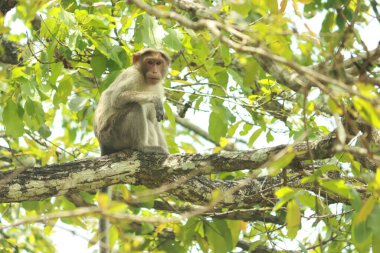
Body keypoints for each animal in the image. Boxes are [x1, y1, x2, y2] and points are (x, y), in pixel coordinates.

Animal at [93, 49, 170, 253]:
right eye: (150, 62)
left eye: (159, 63)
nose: (155, 71)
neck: (145, 79)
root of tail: (104, 146)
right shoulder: (131, 76)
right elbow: (118, 98)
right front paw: (155, 100)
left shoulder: (158, 86)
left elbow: (155, 120)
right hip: (114, 133)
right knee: (135, 106)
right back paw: (142, 147)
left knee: (149, 118)